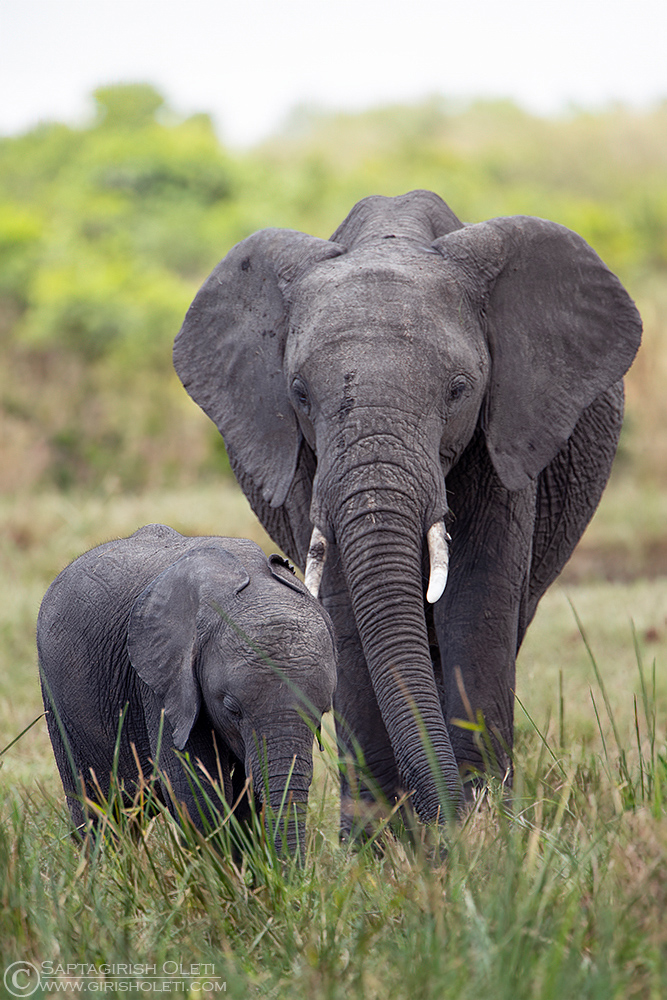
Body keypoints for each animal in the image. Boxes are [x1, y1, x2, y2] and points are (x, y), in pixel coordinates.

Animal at [36, 520, 336, 856]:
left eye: (323, 712)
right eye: (232, 709)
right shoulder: (161, 680)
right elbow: (196, 791)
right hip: (58, 699)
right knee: (98, 811)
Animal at [174, 191, 640, 832]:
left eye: (459, 389)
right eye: (298, 393)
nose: (447, 825)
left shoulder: (502, 436)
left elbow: (477, 597)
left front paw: (483, 834)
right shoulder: (303, 462)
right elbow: (344, 610)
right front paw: (381, 843)